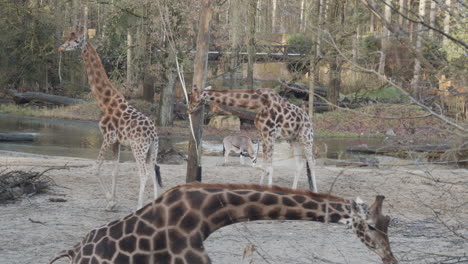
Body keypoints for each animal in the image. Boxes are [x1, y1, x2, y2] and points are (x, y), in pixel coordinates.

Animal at [59, 29, 162, 210]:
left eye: (76, 41)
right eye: (68, 38)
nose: (61, 47)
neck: (106, 103)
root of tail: (153, 135)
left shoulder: (108, 137)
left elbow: (96, 168)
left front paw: (109, 200)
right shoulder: (117, 142)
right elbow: (115, 170)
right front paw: (112, 202)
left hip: (138, 148)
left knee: (143, 173)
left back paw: (139, 207)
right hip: (152, 149)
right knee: (153, 171)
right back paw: (155, 206)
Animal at [189, 87, 318, 191]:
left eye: (194, 98)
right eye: (190, 96)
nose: (188, 110)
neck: (257, 104)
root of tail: (309, 119)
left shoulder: (270, 134)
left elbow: (270, 167)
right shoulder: (263, 134)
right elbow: (264, 166)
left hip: (306, 138)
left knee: (312, 164)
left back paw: (315, 192)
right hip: (294, 140)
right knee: (299, 164)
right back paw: (293, 190)